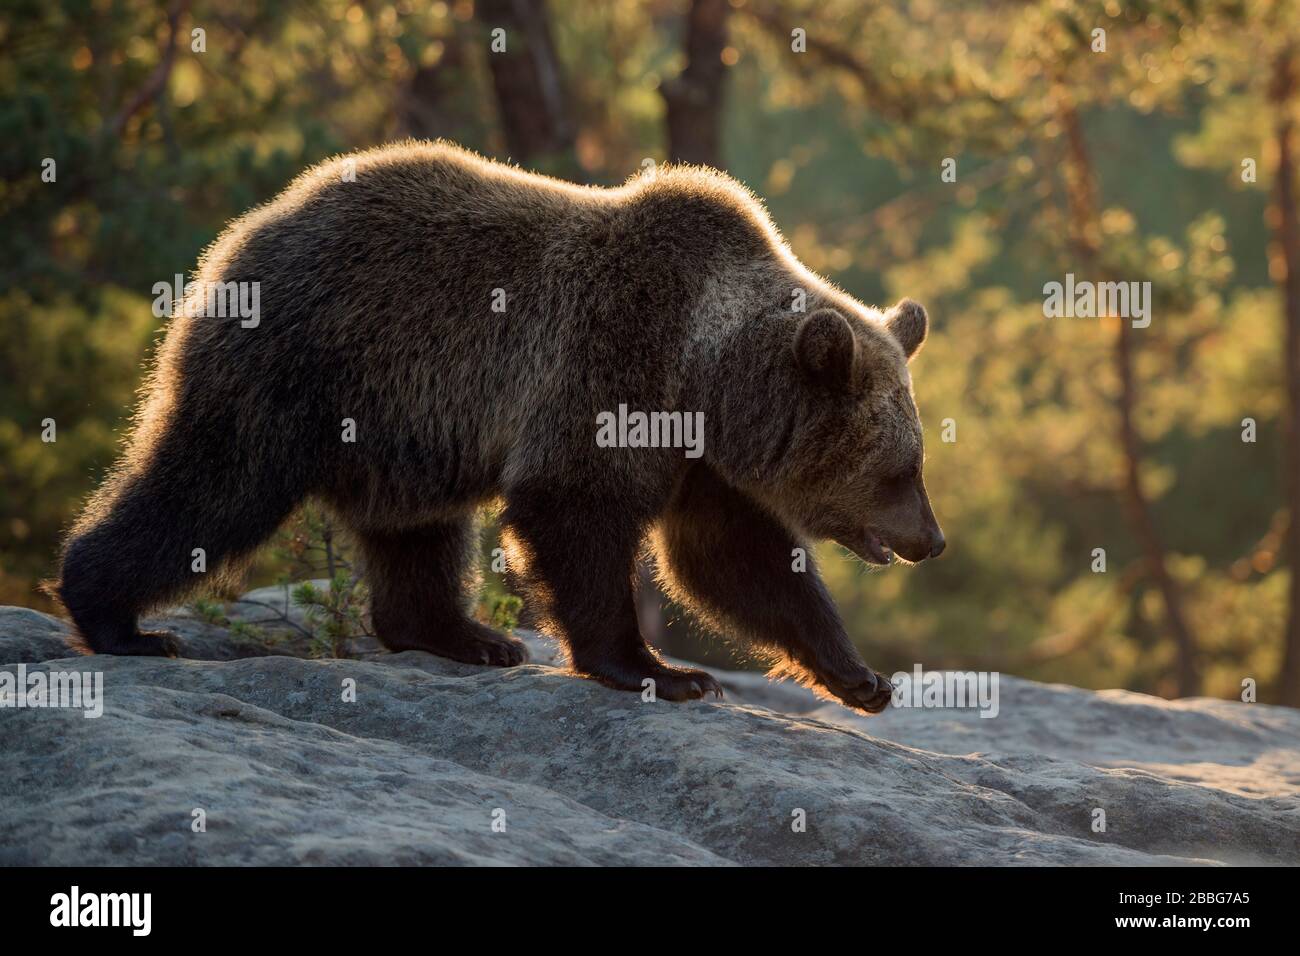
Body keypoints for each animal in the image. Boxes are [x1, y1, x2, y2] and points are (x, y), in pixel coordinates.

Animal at [55, 140, 944, 714]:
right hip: (300, 361)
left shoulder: (695, 456)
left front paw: (860, 676)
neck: (705, 371)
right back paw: (117, 619)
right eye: (900, 467)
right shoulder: (611, 366)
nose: (931, 540)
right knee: (213, 485)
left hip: (398, 422)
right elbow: (575, 511)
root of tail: (247, 229)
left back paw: (466, 635)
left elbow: (733, 557)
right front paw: (659, 670)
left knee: (416, 531)